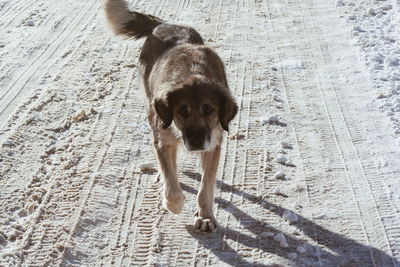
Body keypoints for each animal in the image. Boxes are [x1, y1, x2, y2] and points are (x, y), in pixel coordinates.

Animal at [105, 0, 238, 232]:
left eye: (209, 109)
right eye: (181, 110)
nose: (195, 143)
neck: (193, 72)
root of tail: (164, 24)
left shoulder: (213, 143)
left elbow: (206, 186)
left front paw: (205, 217)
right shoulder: (164, 138)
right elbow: (172, 184)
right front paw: (174, 203)